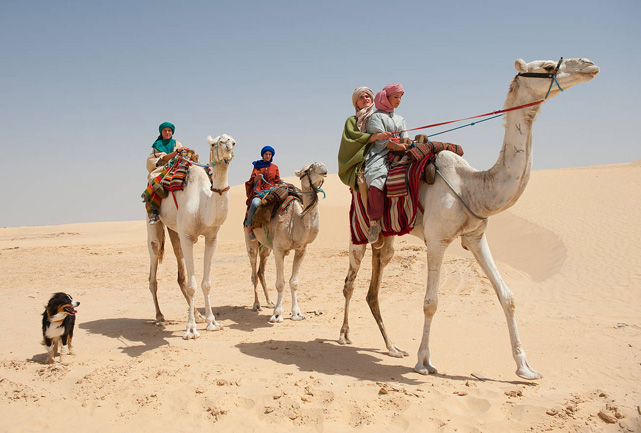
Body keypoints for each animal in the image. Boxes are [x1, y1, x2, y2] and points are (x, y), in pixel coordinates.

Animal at [146, 133, 235, 340]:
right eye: (215, 142)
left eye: (232, 140)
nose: (228, 145)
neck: (203, 204)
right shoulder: (188, 237)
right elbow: (193, 285)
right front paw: (191, 329)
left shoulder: (212, 238)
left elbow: (206, 283)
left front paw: (212, 322)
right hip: (154, 225)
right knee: (154, 269)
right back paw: (160, 316)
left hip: (175, 231)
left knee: (180, 274)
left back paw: (197, 314)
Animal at [244, 161, 328, 320]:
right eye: (307, 169)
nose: (323, 167)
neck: (295, 221)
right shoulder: (279, 250)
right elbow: (280, 283)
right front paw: (277, 314)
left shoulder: (301, 249)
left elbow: (294, 282)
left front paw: (296, 313)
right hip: (250, 241)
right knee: (253, 274)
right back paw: (256, 305)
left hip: (266, 247)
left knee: (260, 272)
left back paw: (269, 302)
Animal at [340, 58, 600, 378]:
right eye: (549, 66)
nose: (589, 65)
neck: (471, 187)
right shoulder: (437, 240)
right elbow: (430, 302)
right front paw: (424, 362)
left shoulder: (476, 236)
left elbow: (507, 296)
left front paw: (525, 367)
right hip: (358, 231)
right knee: (350, 281)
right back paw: (344, 335)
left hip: (388, 240)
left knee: (375, 283)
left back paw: (393, 347)